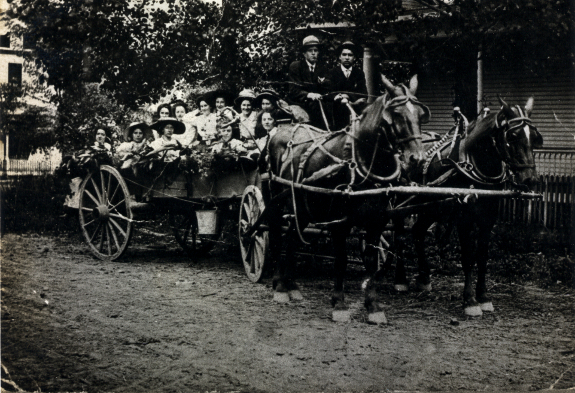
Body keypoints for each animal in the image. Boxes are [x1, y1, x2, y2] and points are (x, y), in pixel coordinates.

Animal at [268, 75, 430, 324]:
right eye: (396, 114)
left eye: (420, 114)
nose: (418, 159)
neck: (361, 158)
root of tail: (283, 129)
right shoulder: (339, 221)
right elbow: (341, 259)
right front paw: (339, 304)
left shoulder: (377, 220)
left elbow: (371, 260)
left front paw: (373, 306)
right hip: (278, 201)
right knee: (279, 236)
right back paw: (279, 286)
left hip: (303, 208)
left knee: (292, 238)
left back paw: (292, 285)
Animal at [396, 95, 544, 316]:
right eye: (512, 136)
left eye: (534, 138)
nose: (530, 180)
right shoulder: (463, 219)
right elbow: (467, 258)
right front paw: (469, 301)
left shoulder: (488, 220)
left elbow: (482, 258)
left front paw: (483, 296)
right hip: (398, 201)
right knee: (396, 235)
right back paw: (400, 278)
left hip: (431, 206)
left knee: (417, 231)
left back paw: (424, 277)